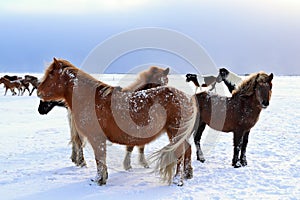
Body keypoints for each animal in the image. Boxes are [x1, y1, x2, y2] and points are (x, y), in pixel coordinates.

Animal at [37, 66, 170, 170]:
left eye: (166, 82)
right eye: (156, 83)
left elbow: (141, 146)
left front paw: (143, 163)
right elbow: (132, 146)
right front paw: (128, 165)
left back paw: (77, 160)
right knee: (78, 142)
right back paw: (81, 162)